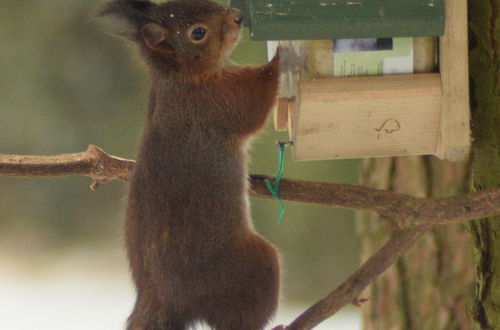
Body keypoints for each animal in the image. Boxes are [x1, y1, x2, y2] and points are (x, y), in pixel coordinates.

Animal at [99, 0, 282, 330]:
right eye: (198, 33)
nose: (238, 16)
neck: (180, 78)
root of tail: (161, 298)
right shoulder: (216, 103)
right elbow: (252, 103)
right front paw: (280, 59)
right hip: (250, 266)